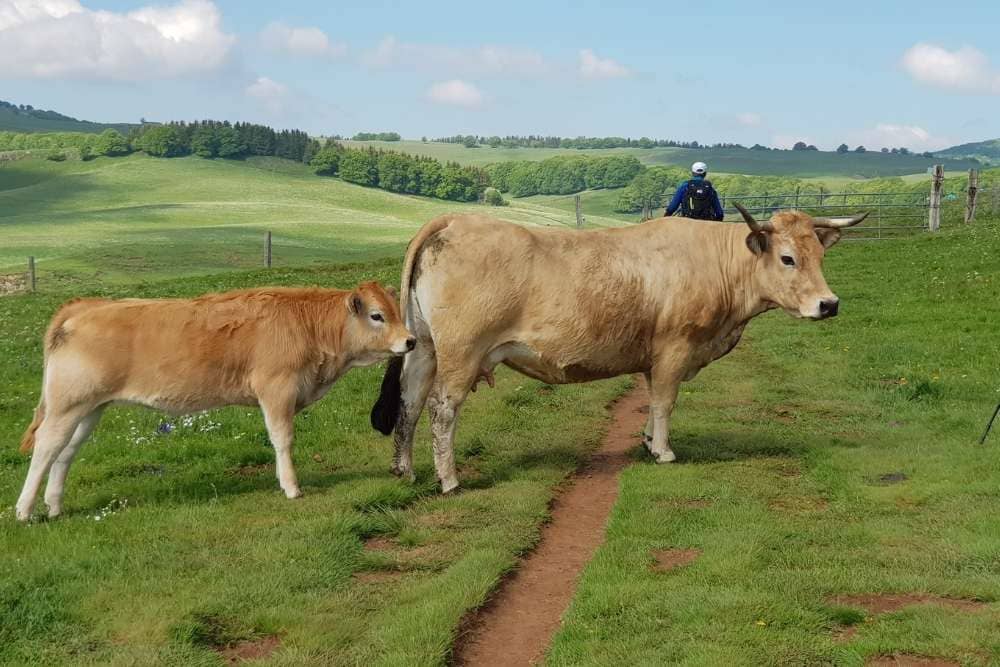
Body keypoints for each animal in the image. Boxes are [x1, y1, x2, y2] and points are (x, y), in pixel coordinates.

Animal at [15, 282, 414, 520]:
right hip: (67, 404)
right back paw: (24, 510)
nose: (410, 340)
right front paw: (291, 486)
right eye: (377, 316)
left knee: (65, 452)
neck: (308, 327)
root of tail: (84, 306)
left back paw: (54, 505)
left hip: (89, 408)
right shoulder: (277, 389)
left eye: (397, 311)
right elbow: (282, 439)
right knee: (47, 446)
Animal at [374, 206, 868, 494]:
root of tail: (455, 220)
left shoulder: (653, 355)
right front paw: (664, 452)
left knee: (409, 404)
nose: (829, 304)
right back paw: (448, 479)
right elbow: (665, 401)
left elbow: (651, 401)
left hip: (424, 349)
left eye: (819, 256)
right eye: (787, 258)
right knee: (441, 410)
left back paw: (404, 470)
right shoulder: (675, 348)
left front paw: (648, 441)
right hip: (461, 354)